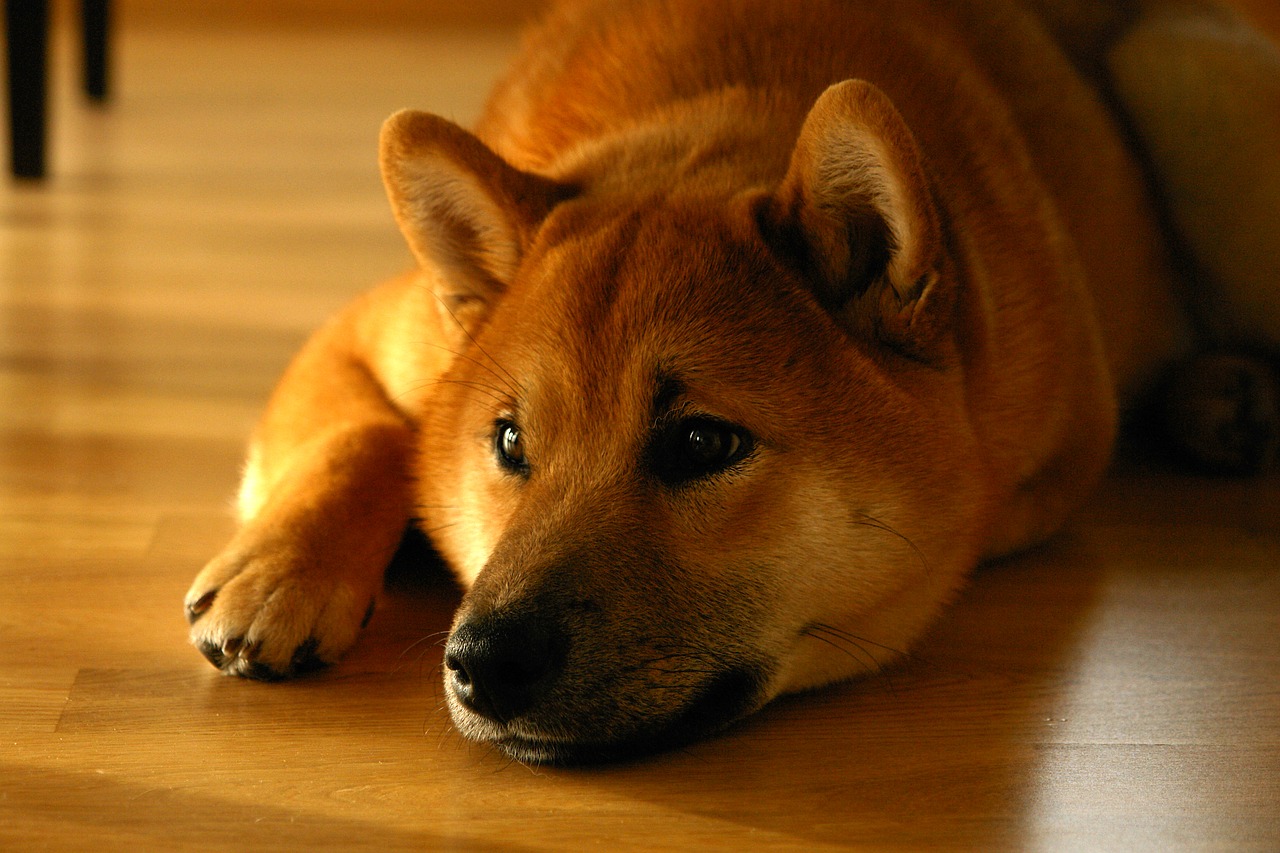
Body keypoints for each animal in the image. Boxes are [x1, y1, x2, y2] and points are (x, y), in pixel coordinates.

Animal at [185, 0, 1280, 758]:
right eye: (509, 443)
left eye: (701, 443)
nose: (481, 660)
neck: (707, 118)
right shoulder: (364, 332)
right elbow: (371, 435)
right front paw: (280, 569)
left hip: (1181, 81)